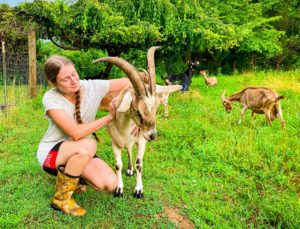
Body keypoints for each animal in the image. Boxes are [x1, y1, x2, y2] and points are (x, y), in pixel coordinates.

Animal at [92, 46, 182, 197]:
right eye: (137, 110)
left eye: (156, 108)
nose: (152, 135)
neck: (123, 129)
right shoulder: (114, 143)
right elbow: (118, 165)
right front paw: (119, 189)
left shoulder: (141, 141)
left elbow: (139, 164)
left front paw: (138, 190)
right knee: (128, 150)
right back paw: (129, 170)